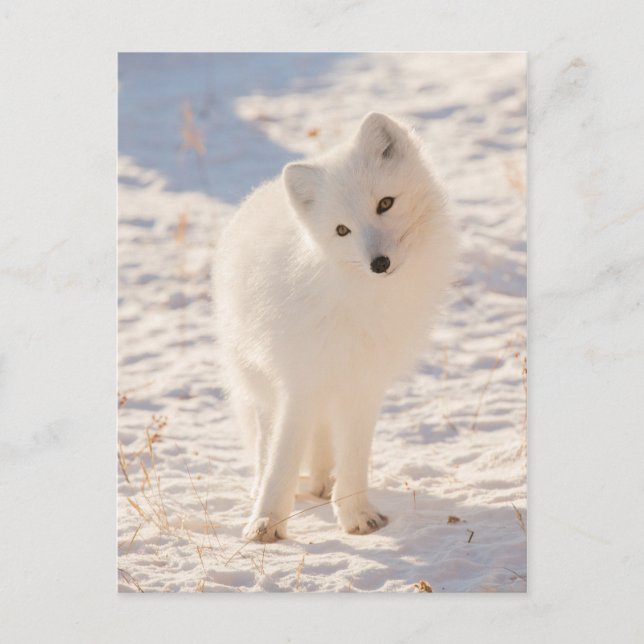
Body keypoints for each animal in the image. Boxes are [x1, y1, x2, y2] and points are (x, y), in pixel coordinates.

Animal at [214, 112, 457, 542]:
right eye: (342, 230)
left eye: (385, 203)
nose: (379, 263)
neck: (361, 300)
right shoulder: (300, 381)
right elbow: (282, 456)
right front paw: (266, 522)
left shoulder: (363, 383)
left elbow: (355, 457)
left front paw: (356, 514)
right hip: (263, 382)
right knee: (266, 444)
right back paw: (273, 487)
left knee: (324, 439)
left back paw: (323, 484)